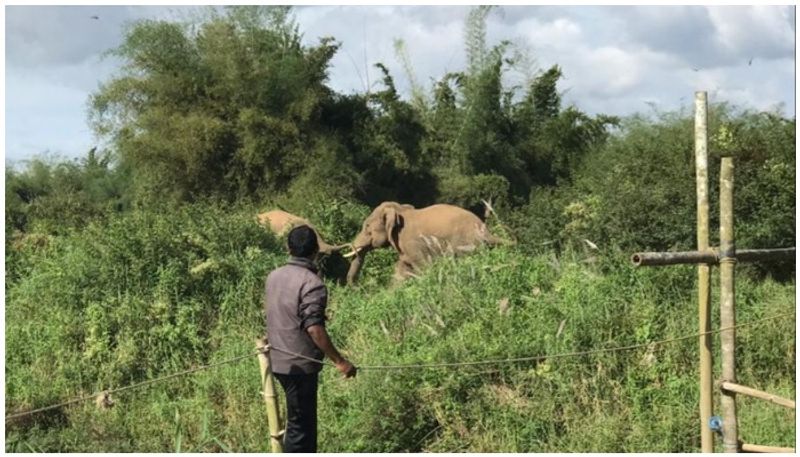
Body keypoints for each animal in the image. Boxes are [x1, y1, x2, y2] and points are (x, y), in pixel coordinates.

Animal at [340, 201, 504, 284]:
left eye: (367, 227)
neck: (400, 210)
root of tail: (485, 229)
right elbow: (402, 270)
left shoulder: (413, 244)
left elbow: (422, 268)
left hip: (466, 244)